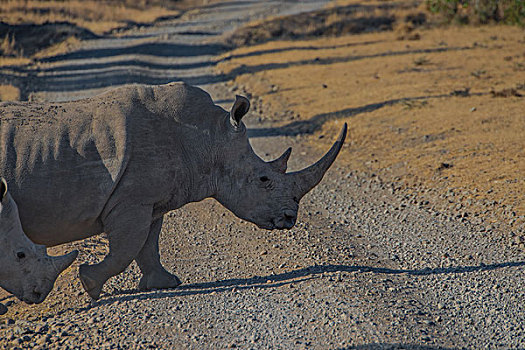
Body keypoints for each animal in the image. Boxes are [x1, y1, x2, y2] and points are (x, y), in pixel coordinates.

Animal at [1, 83, 348, 300]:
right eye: (263, 179)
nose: (290, 218)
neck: (208, 138)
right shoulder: (130, 201)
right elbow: (126, 248)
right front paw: (90, 284)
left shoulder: (148, 200)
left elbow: (147, 244)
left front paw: (163, 284)